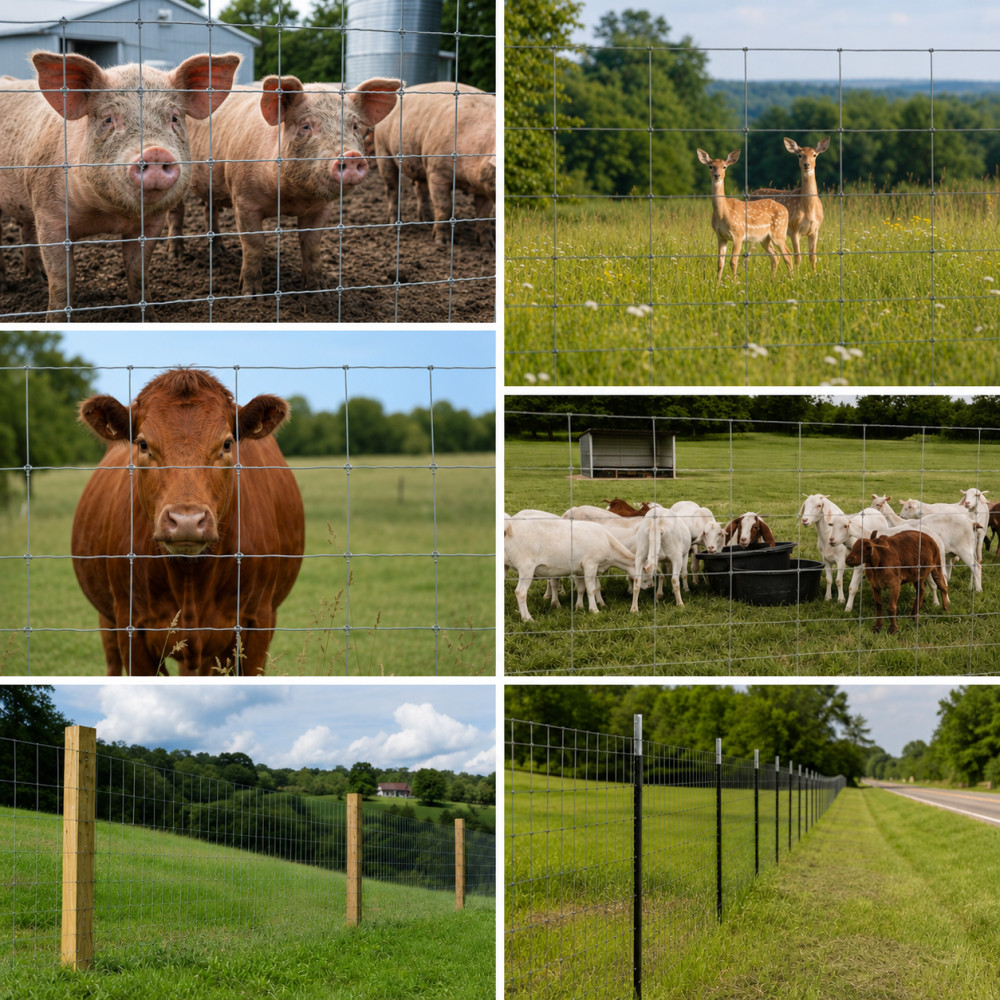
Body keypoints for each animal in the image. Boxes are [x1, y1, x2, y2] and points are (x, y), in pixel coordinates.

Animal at [71, 368, 305, 675]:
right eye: (143, 444)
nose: (186, 521)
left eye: (227, 444)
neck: (190, 580)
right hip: (107, 620)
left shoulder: (258, 623)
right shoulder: (130, 627)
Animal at [696, 148, 793, 286]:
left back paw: (793, 279)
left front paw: (734, 283)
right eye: (711, 166)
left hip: (779, 232)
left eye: (724, 166)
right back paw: (772, 281)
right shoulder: (720, 236)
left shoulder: (738, 234)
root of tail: (785, 210)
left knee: (788, 255)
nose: (717, 175)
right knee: (775, 256)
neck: (723, 213)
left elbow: (733, 261)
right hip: (764, 238)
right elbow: (720, 263)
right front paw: (717, 285)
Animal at [751, 137, 830, 272]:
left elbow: (813, 257)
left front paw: (815, 274)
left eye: (814, 155)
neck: (809, 209)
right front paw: (798, 274)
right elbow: (797, 256)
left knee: (773, 255)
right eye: (800, 155)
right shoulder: (793, 229)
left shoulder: (815, 230)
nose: (806, 164)